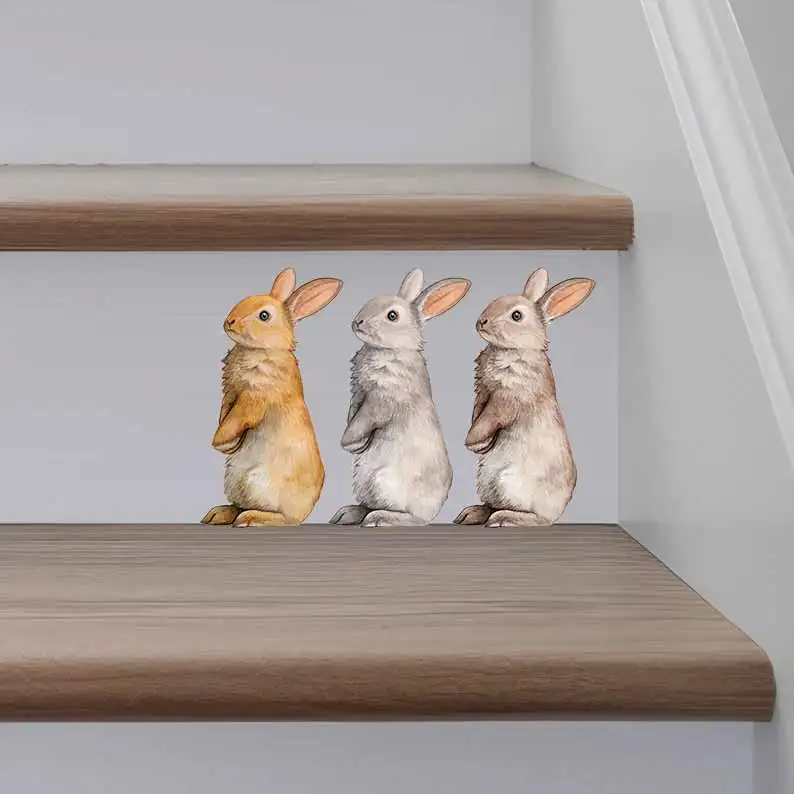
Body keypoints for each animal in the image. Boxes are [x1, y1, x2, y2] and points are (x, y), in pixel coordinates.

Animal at [201, 267, 343, 527]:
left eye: (264, 316)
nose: (229, 322)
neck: (262, 349)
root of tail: (308, 509)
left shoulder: (253, 399)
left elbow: (233, 420)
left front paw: (220, 443)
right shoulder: (230, 395)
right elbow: (224, 415)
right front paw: (229, 447)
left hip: (262, 486)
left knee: (284, 519)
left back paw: (249, 519)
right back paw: (217, 514)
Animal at [329, 268, 471, 527]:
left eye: (392, 316)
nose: (358, 322)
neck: (390, 349)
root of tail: (434, 510)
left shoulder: (380, 401)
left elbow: (360, 421)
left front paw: (349, 443)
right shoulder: (358, 395)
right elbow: (352, 415)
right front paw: (357, 447)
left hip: (385, 482)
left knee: (413, 518)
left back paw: (379, 519)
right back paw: (346, 514)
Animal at [453, 268, 595, 528]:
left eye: (517, 315)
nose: (481, 321)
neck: (513, 349)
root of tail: (559, 509)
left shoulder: (506, 399)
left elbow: (487, 419)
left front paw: (473, 442)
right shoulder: (483, 393)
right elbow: (477, 414)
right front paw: (482, 446)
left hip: (511, 484)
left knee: (537, 519)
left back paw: (503, 519)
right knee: (493, 505)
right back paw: (470, 515)